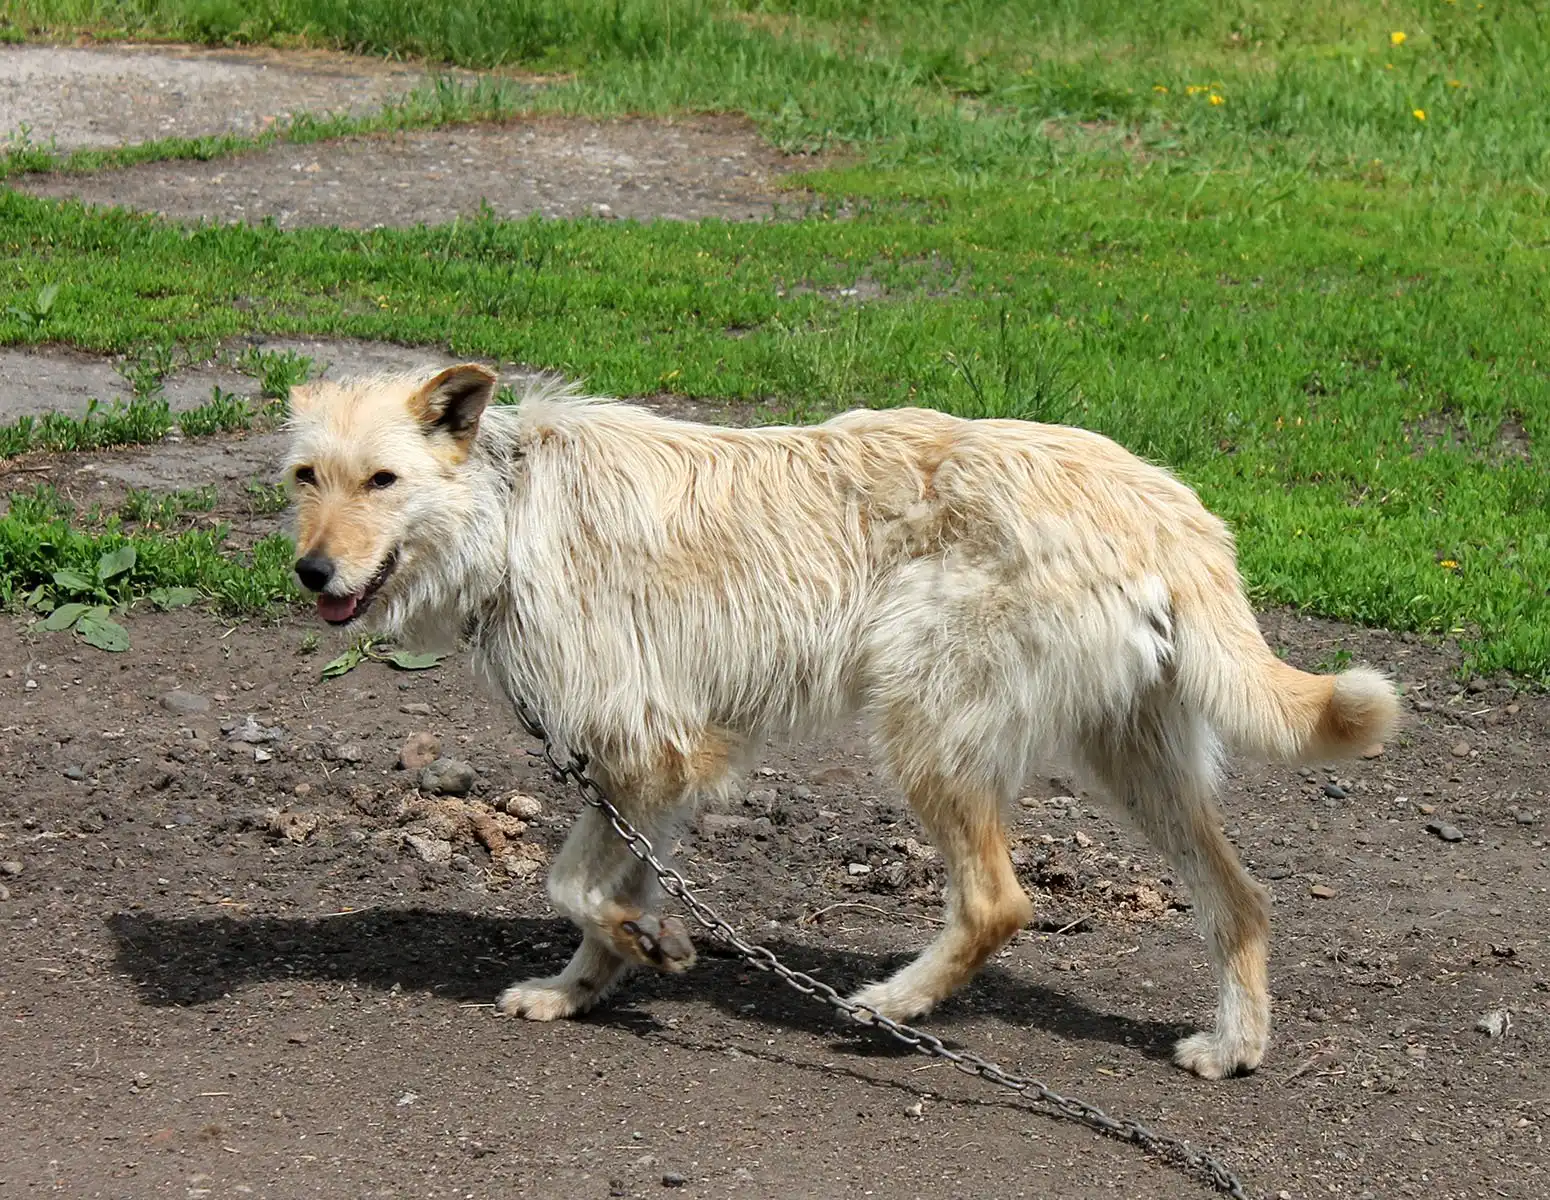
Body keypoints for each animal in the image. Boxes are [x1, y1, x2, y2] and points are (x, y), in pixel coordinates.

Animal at [283, 363, 1397, 1080]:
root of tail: (1166, 502)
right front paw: (589, 982)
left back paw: (892, 1006)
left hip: (926, 729)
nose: (311, 572)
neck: (508, 508)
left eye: (382, 480)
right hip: (1136, 761)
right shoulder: (648, 776)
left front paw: (643, 948)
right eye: (306, 479)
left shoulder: (654, 750)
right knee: (1239, 900)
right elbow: (607, 888)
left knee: (998, 904)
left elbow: (570, 882)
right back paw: (1233, 1047)